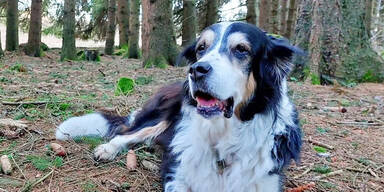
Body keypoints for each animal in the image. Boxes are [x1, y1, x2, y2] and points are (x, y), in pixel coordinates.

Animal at [56, 21, 304, 191]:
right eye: (201, 48)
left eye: (241, 49)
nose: (196, 69)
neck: (223, 137)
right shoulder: (177, 172)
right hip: (162, 117)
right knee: (126, 134)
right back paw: (108, 149)